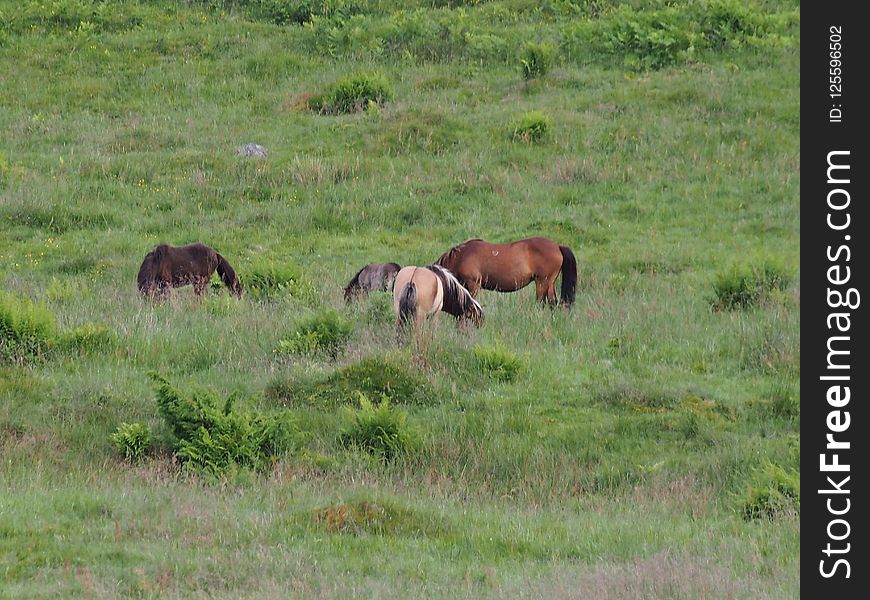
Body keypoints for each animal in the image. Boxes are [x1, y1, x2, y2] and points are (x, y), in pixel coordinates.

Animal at [436, 237, 580, 308]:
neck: (462, 256)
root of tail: (558, 246)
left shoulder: (473, 285)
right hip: (549, 283)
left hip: (542, 282)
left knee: (544, 302)